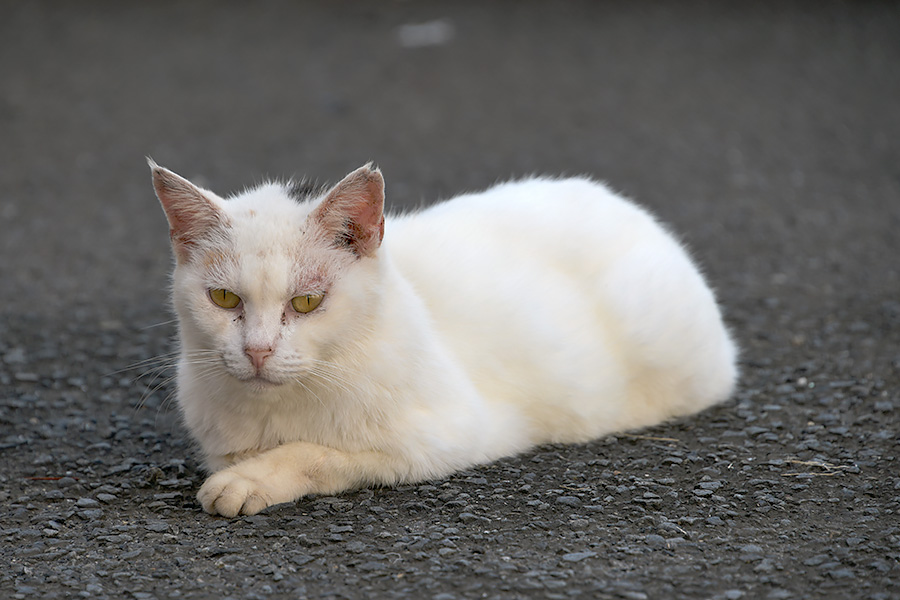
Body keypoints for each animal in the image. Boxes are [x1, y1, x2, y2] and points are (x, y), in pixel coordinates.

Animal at [149, 159, 740, 516]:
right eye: (224, 299)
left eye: (308, 303)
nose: (257, 350)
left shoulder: (442, 436)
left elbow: (315, 452)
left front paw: (249, 480)